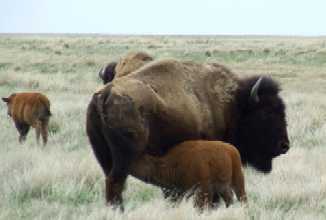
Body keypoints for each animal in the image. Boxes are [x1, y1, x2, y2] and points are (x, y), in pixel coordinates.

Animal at [85, 58, 290, 206]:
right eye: (267, 113)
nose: (284, 145)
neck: (232, 104)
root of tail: (105, 95)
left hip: (104, 157)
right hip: (124, 158)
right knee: (116, 184)